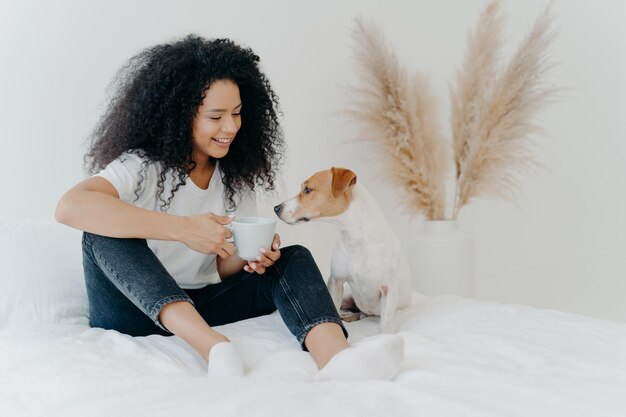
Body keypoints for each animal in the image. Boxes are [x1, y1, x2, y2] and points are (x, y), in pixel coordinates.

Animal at [272, 167, 410, 332]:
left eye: (308, 189)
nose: (276, 208)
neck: (355, 239)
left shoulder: (389, 290)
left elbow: (385, 325)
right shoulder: (335, 282)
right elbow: (334, 310)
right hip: (348, 297)